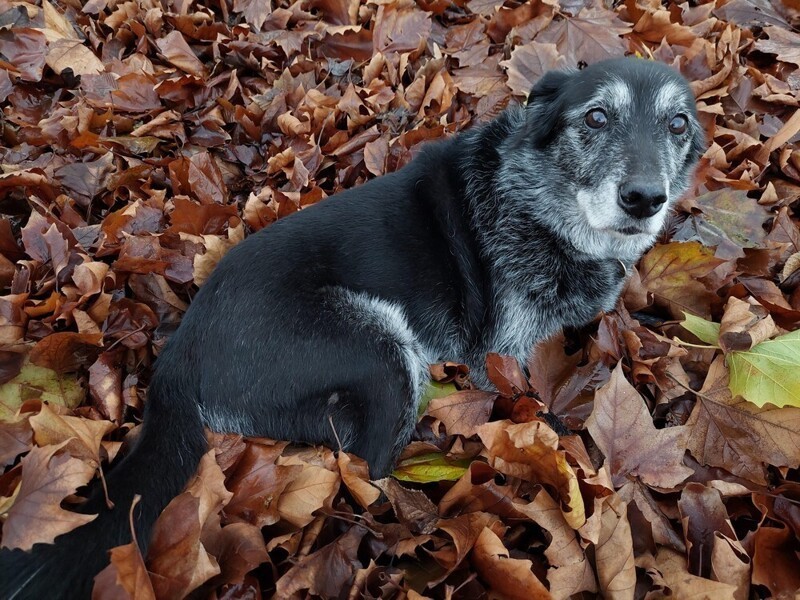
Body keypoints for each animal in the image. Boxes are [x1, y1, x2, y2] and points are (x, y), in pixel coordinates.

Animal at [0, 57, 704, 600]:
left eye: (677, 124)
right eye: (596, 118)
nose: (645, 198)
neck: (540, 207)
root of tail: (174, 366)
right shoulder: (501, 359)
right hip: (384, 350)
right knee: (369, 470)